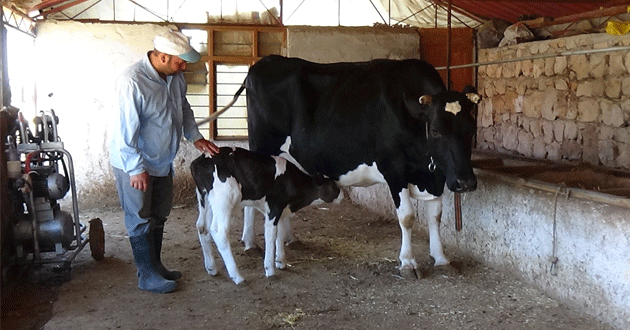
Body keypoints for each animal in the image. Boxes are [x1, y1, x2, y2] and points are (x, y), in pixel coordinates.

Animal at [190, 147, 344, 284]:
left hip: (205, 200)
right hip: (224, 200)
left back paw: (211, 268)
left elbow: (281, 233)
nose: (342, 195)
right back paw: (237, 277)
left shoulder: (281, 209)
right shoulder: (274, 208)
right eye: (333, 186)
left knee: (202, 227)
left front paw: (280, 261)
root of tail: (198, 162)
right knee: (218, 232)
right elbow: (271, 236)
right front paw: (270, 269)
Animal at [233, 54, 484, 278]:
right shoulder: (394, 169)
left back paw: (289, 239)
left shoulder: (436, 176)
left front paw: (441, 259)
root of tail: (264, 62)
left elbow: (435, 216)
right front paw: (408, 263)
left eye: (471, 128)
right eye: (435, 131)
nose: (465, 182)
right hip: (262, 148)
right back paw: (250, 242)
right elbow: (407, 216)